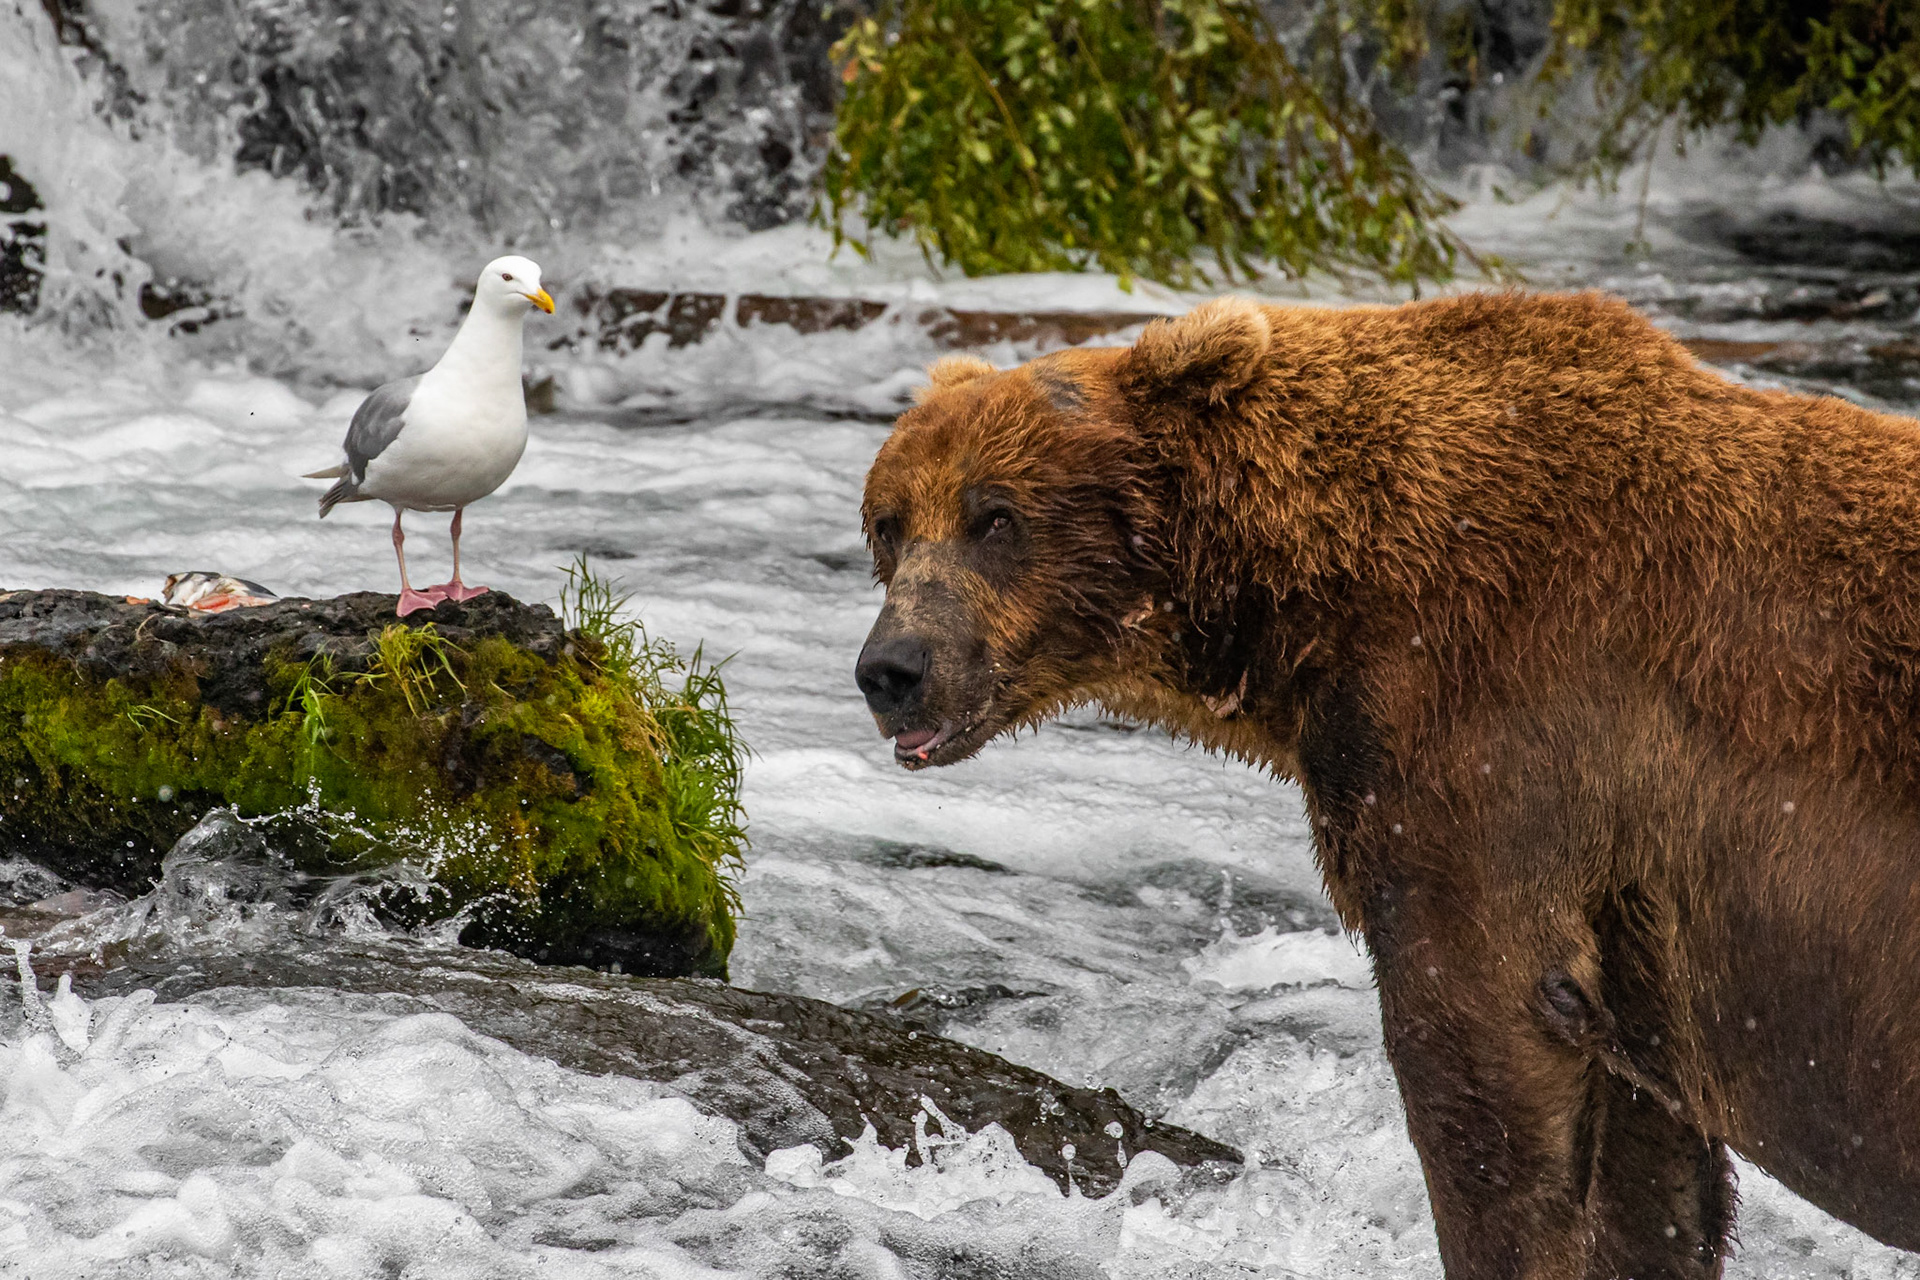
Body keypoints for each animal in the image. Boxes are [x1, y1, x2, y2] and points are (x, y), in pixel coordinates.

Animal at [854, 290, 1920, 1277]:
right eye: (890, 526)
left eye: (996, 516)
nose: (891, 669)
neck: (1315, 595)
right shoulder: (1641, 928)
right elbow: (1650, 1170)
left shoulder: (1490, 736)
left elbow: (1482, 1059)